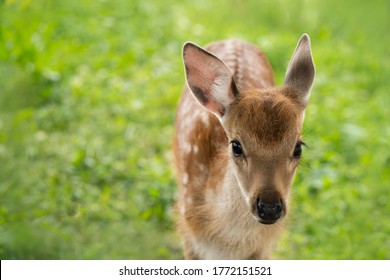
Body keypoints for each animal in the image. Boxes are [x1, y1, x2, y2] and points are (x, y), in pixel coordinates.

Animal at [173, 34, 314, 260]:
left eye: (298, 148)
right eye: (236, 146)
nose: (269, 207)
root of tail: (235, 39)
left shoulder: (264, 248)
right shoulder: (189, 235)